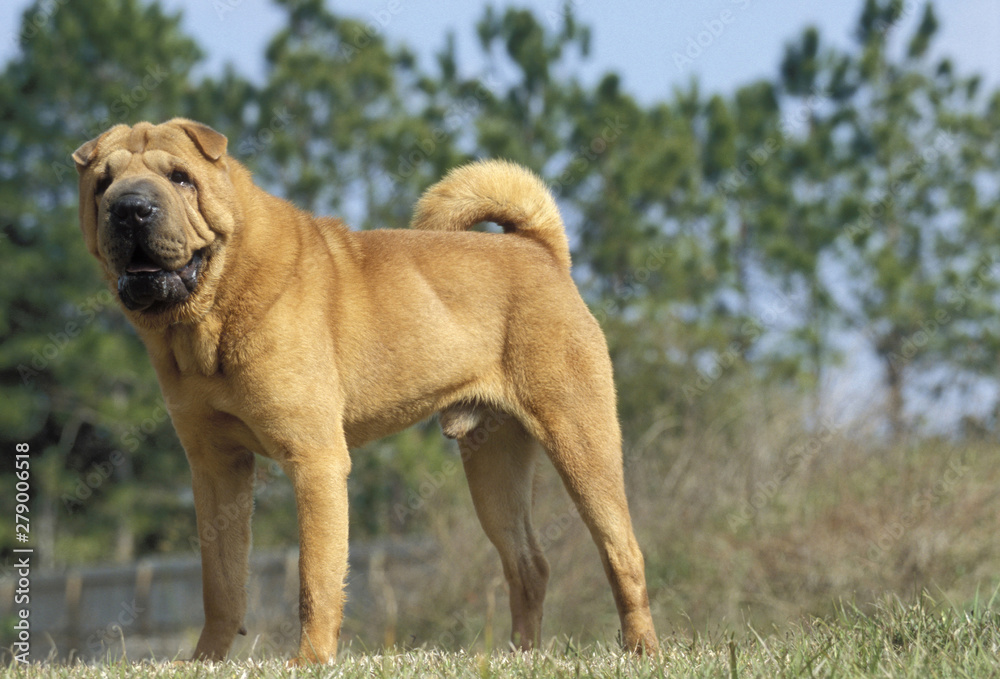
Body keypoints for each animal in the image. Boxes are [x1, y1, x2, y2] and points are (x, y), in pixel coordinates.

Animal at [74, 118, 660, 664]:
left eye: (180, 178)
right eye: (103, 184)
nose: (131, 208)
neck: (206, 320)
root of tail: (540, 249)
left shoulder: (314, 459)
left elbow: (315, 577)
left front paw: (309, 661)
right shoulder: (216, 465)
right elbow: (220, 583)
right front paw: (206, 662)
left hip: (580, 439)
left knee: (623, 552)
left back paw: (641, 649)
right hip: (494, 463)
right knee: (528, 563)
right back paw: (521, 655)